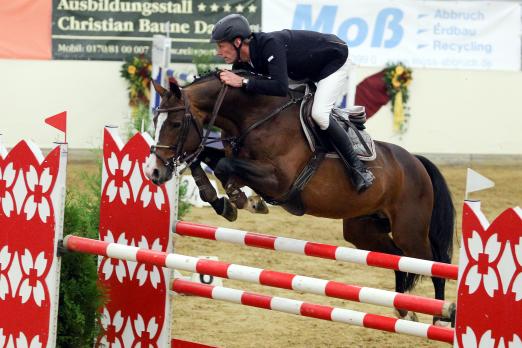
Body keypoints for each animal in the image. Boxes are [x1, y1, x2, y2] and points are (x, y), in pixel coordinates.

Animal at [144, 72, 452, 324]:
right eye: (155, 121)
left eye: (175, 123)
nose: (154, 172)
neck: (256, 117)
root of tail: (416, 162)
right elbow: (209, 159)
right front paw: (225, 201)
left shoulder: (279, 181)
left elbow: (224, 166)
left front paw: (239, 199)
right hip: (362, 230)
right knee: (397, 259)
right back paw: (404, 310)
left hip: (409, 231)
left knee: (434, 263)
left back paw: (440, 316)